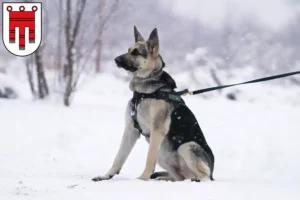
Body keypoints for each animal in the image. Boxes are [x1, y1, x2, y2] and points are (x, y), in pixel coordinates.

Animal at [92, 26, 214, 181]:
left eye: (136, 52)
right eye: (128, 49)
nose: (116, 59)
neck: (144, 94)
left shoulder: (157, 131)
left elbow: (149, 157)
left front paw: (143, 178)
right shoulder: (130, 130)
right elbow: (119, 156)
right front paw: (107, 175)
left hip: (186, 146)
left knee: (205, 176)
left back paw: (197, 179)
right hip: (164, 155)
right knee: (178, 177)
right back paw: (162, 178)